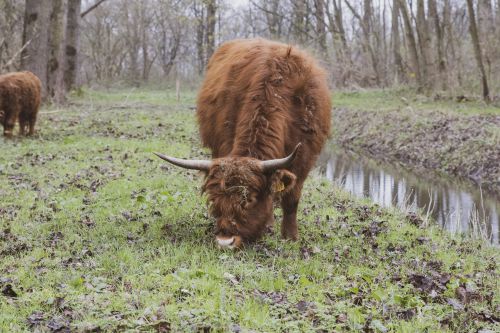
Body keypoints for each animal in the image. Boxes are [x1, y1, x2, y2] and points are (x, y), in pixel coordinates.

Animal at [154, 38, 330, 246]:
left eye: (250, 199)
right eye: (214, 198)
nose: (225, 241)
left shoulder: (304, 156)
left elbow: (291, 199)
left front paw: (291, 237)